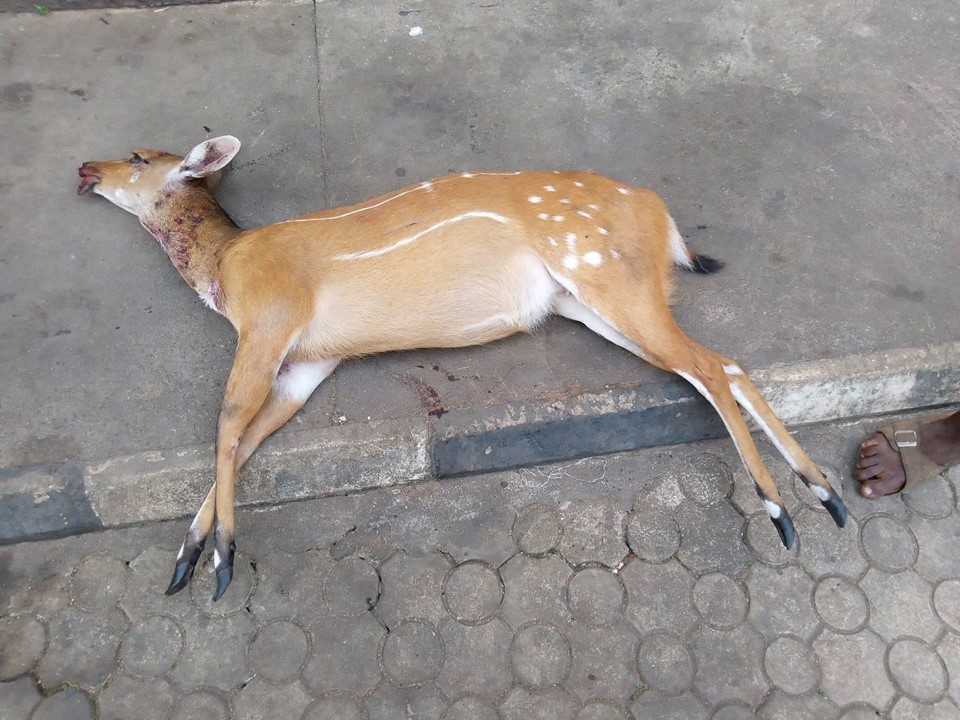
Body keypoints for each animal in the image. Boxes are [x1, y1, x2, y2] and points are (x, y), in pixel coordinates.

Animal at [79, 138, 844, 600]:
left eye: (139, 155)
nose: (86, 170)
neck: (224, 271)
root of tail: (664, 220)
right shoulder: (308, 365)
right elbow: (247, 438)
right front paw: (186, 556)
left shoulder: (269, 322)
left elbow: (226, 424)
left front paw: (217, 561)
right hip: (589, 304)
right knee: (722, 367)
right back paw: (825, 494)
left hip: (607, 278)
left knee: (712, 366)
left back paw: (786, 511)